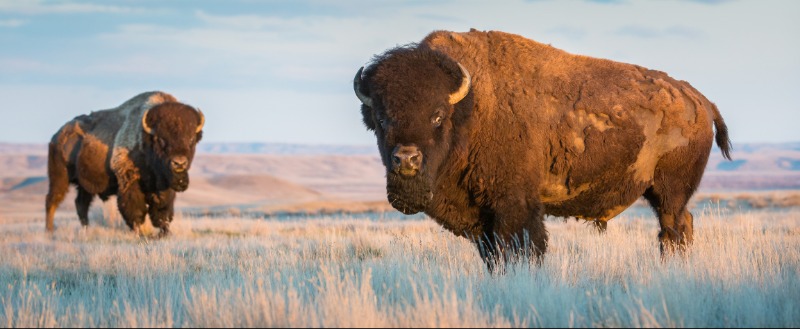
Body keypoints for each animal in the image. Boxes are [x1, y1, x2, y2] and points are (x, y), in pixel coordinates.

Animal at [45, 89, 205, 234]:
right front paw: (140, 234)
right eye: (160, 139)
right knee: (52, 200)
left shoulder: (164, 188)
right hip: (59, 178)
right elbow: (136, 211)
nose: (179, 163)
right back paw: (50, 230)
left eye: (191, 139)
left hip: (84, 185)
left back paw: (86, 230)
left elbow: (163, 212)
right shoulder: (129, 180)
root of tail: (56, 136)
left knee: (81, 204)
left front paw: (164, 233)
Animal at [354, 28, 732, 270]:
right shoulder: (483, 220)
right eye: (382, 118)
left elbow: (524, 249)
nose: (406, 158)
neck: (469, 107)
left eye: (436, 115)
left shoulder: (516, 207)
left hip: (669, 191)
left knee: (674, 227)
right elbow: (494, 257)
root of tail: (698, 99)